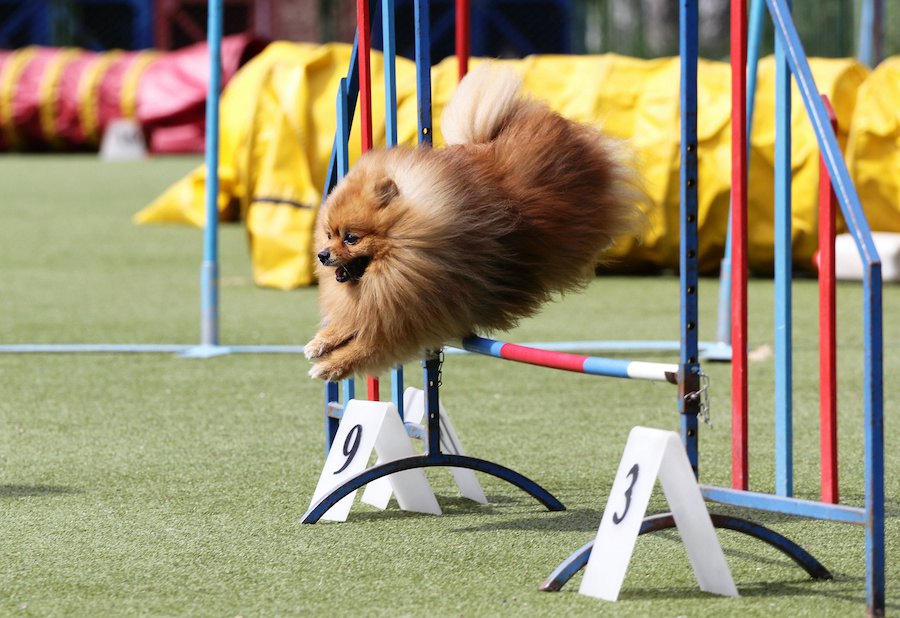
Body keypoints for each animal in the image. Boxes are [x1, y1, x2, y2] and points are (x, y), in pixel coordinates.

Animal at [306, 63, 644, 380]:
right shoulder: (391, 301)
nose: (322, 255)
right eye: (328, 234)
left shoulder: (414, 314)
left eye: (351, 237)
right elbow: (354, 319)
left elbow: (369, 344)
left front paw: (329, 366)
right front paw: (321, 341)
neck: (408, 250)